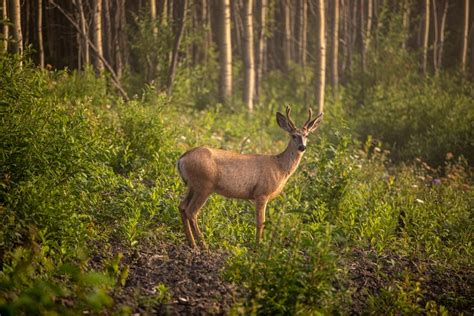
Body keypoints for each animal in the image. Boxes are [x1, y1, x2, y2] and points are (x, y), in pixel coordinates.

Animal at [176, 107, 324, 249]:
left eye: (306, 135)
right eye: (294, 136)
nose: (302, 147)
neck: (280, 167)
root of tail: (182, 159)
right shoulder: (261, 193)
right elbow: (260, 222)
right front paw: (258, 246)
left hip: (193, 186)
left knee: (182, 206)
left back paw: (192, 244)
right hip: (204, 185)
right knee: (191, 211)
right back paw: (203, 245)